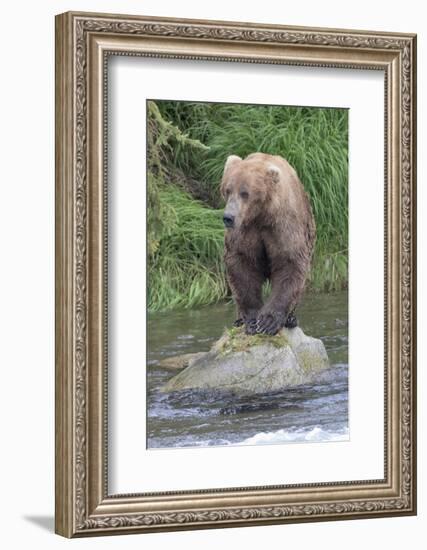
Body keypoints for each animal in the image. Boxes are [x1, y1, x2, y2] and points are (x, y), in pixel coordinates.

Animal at [222, 153, 316, 338]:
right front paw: (252, 321)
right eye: (227, 189)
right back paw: (238, 320)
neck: (261, 215)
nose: (228, 217)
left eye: (245, 193)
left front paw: (267, 322)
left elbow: (290, 263)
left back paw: (291, 319)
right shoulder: (245, 231)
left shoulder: (283, 226)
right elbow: (242, 265)